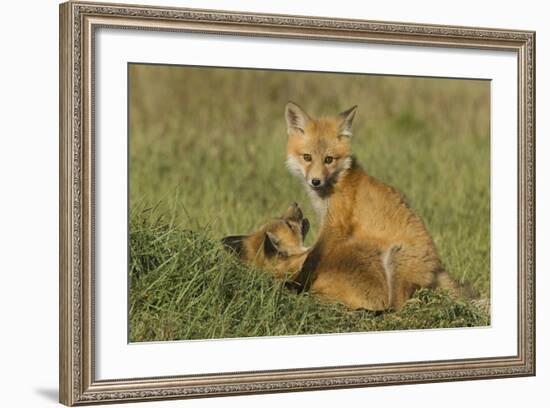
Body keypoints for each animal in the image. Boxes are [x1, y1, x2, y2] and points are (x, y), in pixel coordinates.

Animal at [284, 101, 458, 310]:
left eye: (328, 159)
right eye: (307, 157)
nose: (315, 181)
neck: (337, 182)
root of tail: (437, 267)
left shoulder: (335, 226)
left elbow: (312, 258)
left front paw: (298, 285)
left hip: (395, 260)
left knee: (397, 306)